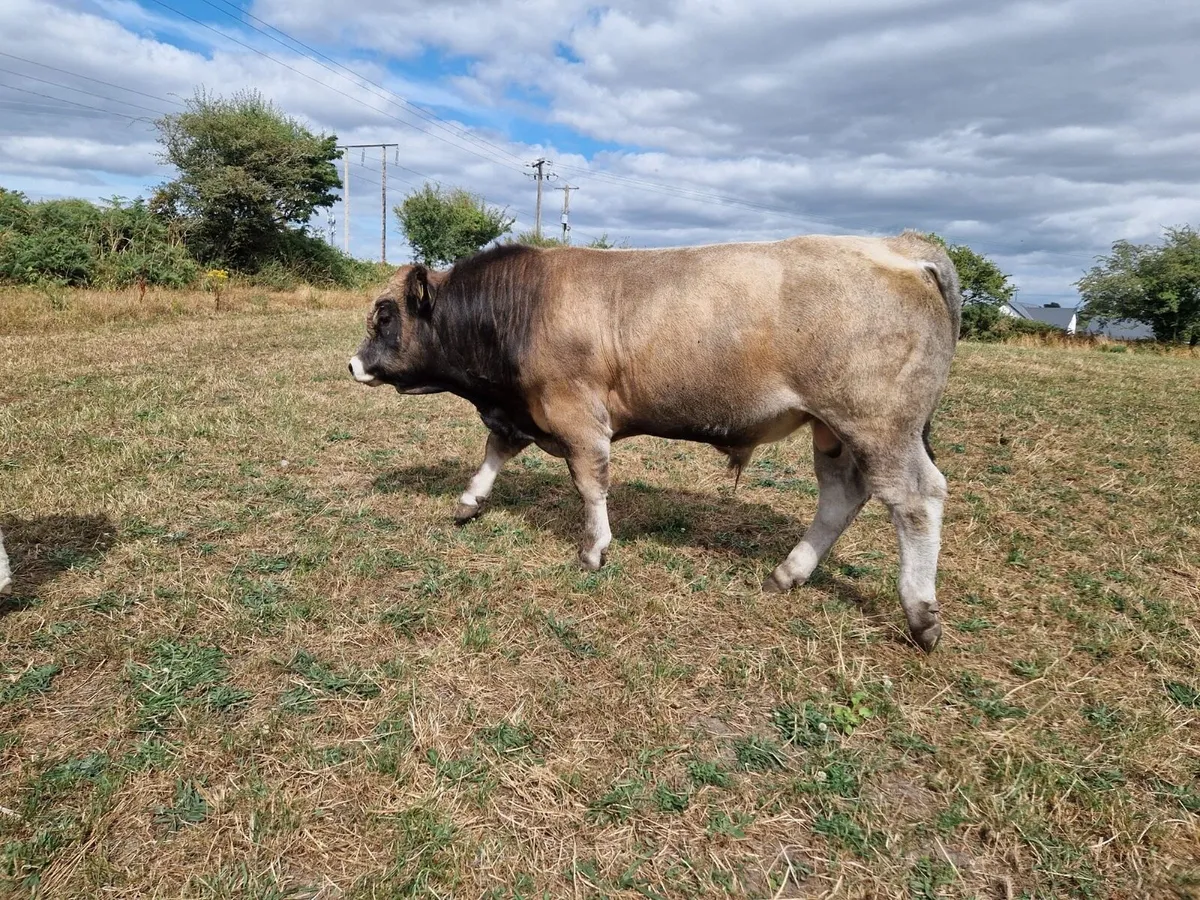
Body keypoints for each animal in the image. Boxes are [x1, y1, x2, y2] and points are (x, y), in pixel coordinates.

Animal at [348, 232, 962, 651]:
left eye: (386, 315)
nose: (353, 364)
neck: (521, 307)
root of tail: (903, 245)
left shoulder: (575, 414)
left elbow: (590, 481)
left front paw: (594, 549)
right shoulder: (525, 410)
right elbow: (495, 451)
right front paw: (470, 501)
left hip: (877, 424)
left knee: (916, 498)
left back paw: (920, 614)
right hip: (833, 430)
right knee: (841, 495)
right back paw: (788, 573)